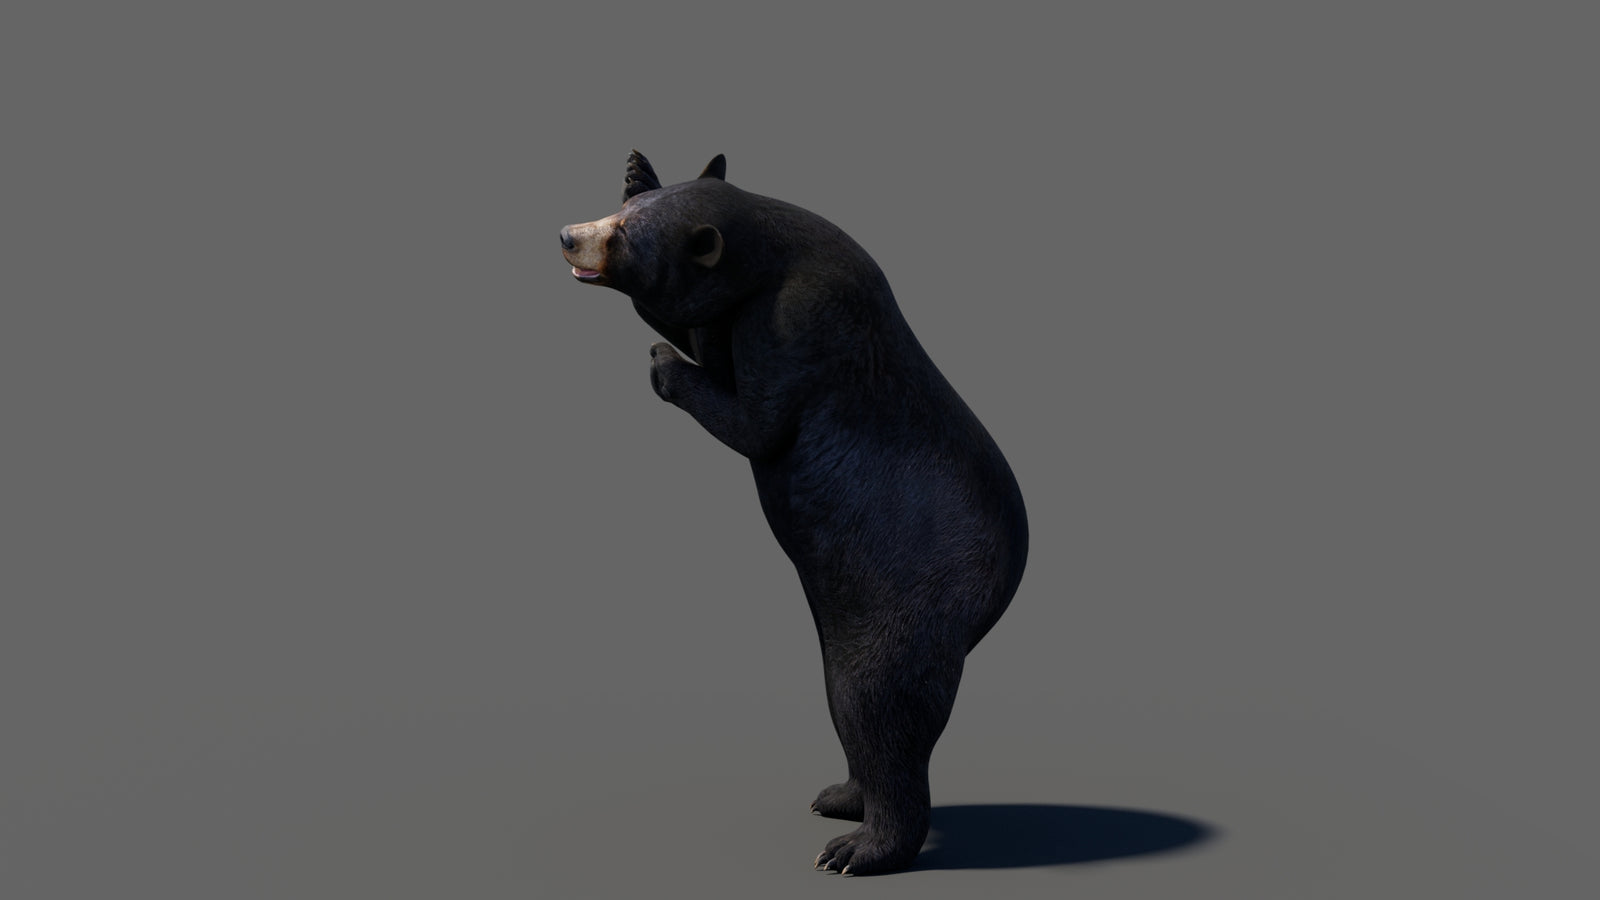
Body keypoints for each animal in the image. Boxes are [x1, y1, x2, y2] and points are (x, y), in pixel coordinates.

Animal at [560, 151, 1028, 875]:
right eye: (621, 214)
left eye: (624, 239)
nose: (567, 236)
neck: (776, 251)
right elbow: (709, 336)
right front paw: (639, 168)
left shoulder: (797, 319)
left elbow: (758, 421)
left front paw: (664, 363)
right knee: (847, 703)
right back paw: (841, 796)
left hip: (910, 603)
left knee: (877, 703)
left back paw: (859, 848)